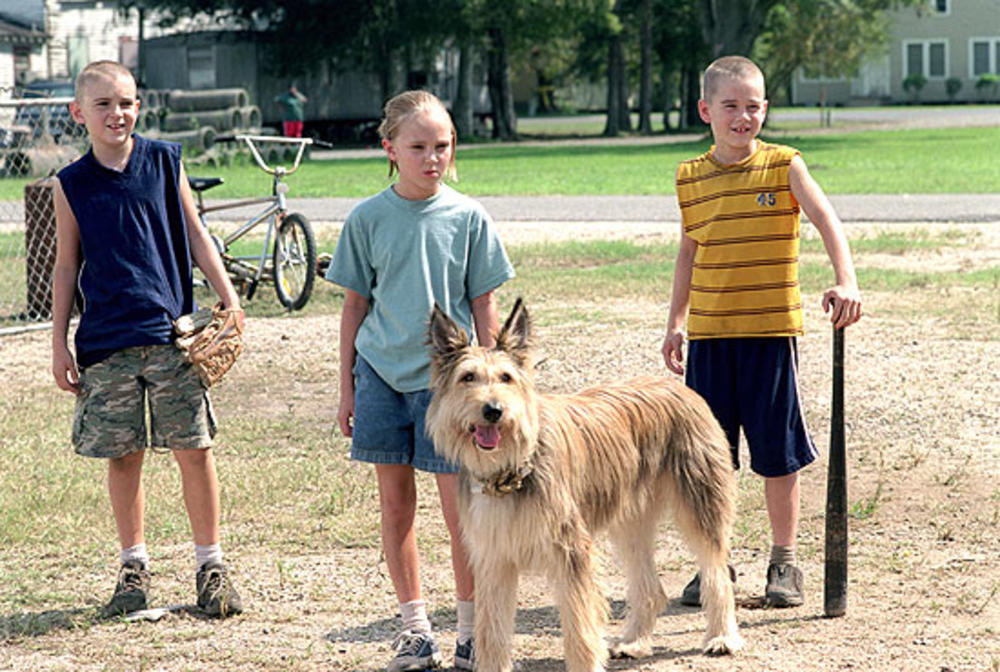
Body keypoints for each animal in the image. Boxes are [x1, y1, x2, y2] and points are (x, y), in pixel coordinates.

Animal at [424, 300, 744, 672]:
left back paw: (722, 637)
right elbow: (491, 632)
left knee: (716, 573)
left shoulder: (571, 551)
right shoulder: (494, 558)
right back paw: (634, 643)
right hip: (630, 522)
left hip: (700, 506)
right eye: (468, 377)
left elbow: (579, 626)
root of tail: (679, 387)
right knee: (651, 589)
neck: (512, 468)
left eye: (506, 378)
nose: (493, 410)